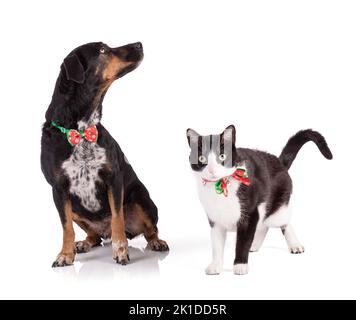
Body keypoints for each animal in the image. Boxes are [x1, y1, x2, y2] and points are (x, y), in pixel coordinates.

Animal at [41, 42, 169, 268]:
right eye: (102, 50)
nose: (139, 44)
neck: (81, 129)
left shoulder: (113, 179)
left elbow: (117, 219)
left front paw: (120, 251)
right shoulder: (58, 189)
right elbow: (66, 227)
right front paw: (65, 254)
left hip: (142, 200)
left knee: (150, 230)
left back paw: (157, 242)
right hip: (76, 209)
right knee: (94, 236)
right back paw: (83, 244)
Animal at [185, 125, 332, 276]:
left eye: (222, 156)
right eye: (201, 158)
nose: (212, 170)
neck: (220, 186)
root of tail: (279, 162)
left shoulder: (249, 214)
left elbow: (243, 241)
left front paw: (240, 265)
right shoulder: (215, 220)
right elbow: (217, 245)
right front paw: (216, 265)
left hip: (278, 207)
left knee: (283, 222)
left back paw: (295, 245)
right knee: (264, 224)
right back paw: (254, 245)